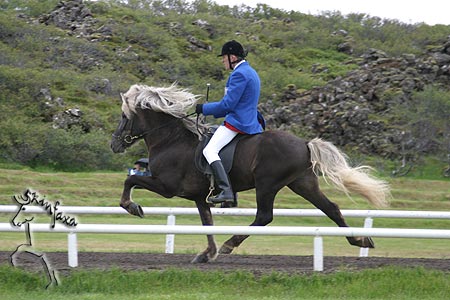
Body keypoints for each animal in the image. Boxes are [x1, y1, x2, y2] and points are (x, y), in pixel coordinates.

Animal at [110, 82, 388, 262]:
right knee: (331, 208)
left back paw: (229, 245)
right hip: (302, 184)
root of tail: (304, 143)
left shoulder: (167, 187)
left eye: (124, 116)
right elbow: (207, 223)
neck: (171, 140)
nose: (114, 144)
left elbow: (130, 179)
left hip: (267, 184)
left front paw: (132, 207)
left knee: (264, 216)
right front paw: (206, 254)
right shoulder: (199, 196)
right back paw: (360, 240)